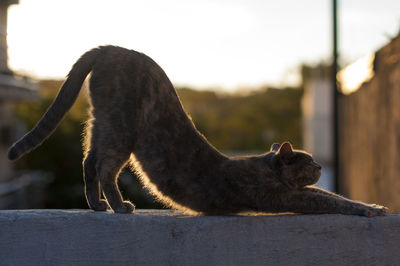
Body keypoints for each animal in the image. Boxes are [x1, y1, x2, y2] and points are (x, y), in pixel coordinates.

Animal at [7, 45, 388, 216]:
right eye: (308, 162)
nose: (322, 166)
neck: (264, 168)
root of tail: (111, 48)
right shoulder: (282, 197)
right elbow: (328, 198)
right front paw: (372, 208)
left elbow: (329, 194)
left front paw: (371, 204)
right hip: (121, 130)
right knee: (103, 168)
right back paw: (118, 206)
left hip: (102, 124)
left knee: (88, 161)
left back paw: (98, 206)